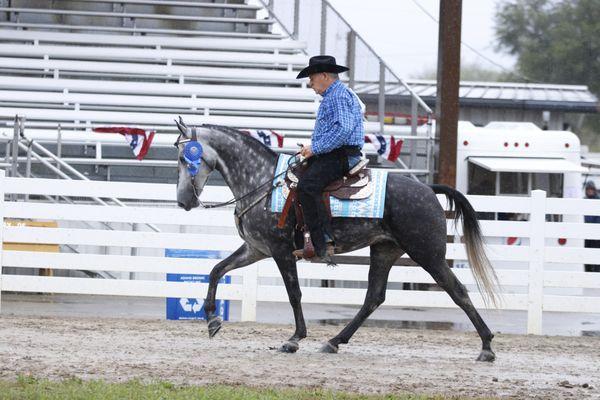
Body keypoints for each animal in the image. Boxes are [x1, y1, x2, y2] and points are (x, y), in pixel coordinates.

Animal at [175, 120, 502, 360]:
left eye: (183, 157)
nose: (183, 201)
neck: (263, 184)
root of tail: (429, 189)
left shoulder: (281, 251)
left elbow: (294, 294)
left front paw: (294, 339)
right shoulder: (256, 249)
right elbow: (217, 270)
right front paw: (211, 320)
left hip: (428, 254)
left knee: (457, 291)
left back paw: (487, 346)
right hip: (385, 251)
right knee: (374, 297)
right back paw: (334, 341)